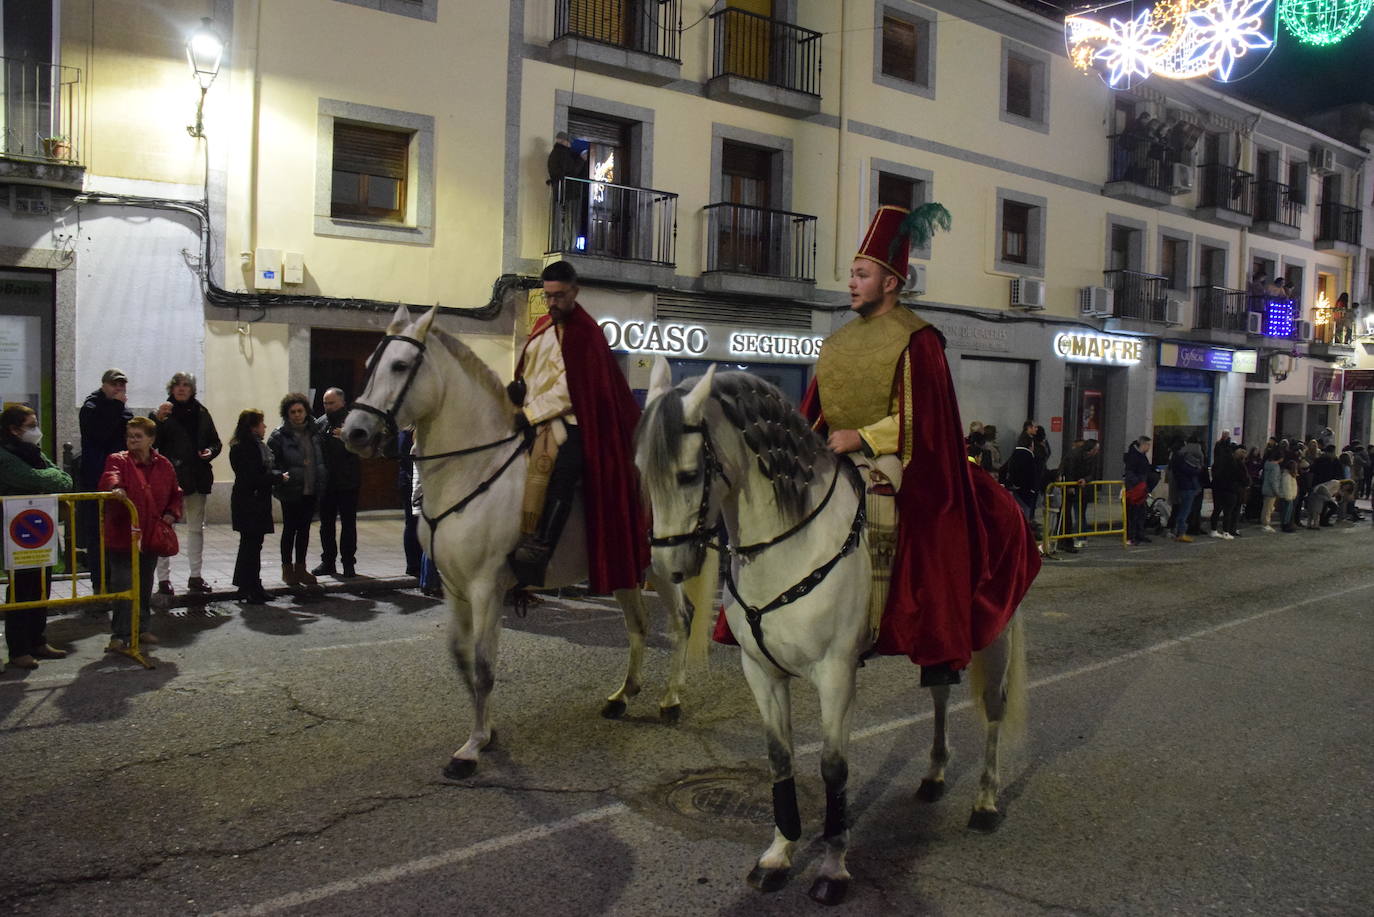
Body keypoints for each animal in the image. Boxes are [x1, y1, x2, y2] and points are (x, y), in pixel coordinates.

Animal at [343, 305, 687, 780]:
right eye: (369, 363)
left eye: (399, 365)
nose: (353, 433)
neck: (473, 467)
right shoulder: (454, 585)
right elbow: (463, 656)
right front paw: (486, 734)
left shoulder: (486, 586)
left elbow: (484, 666)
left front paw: (470, 750)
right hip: (623, 565)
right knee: (638, 625)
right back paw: (622, 695)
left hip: (664, 564)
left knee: (680, 623)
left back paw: (672, 699)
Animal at [637, 362, 1027, 907]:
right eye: (640, 472)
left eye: (689, 474)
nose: (666, 567)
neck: (790, 542)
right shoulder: (761, 672)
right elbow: (779, 757)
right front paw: (777, 855)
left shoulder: (837, 674)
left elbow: (833, 768)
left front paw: (833, 868)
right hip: (939, 638)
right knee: (940, 694)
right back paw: (934, 775)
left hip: (995, 634)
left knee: (992, 710)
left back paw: (986, 802)